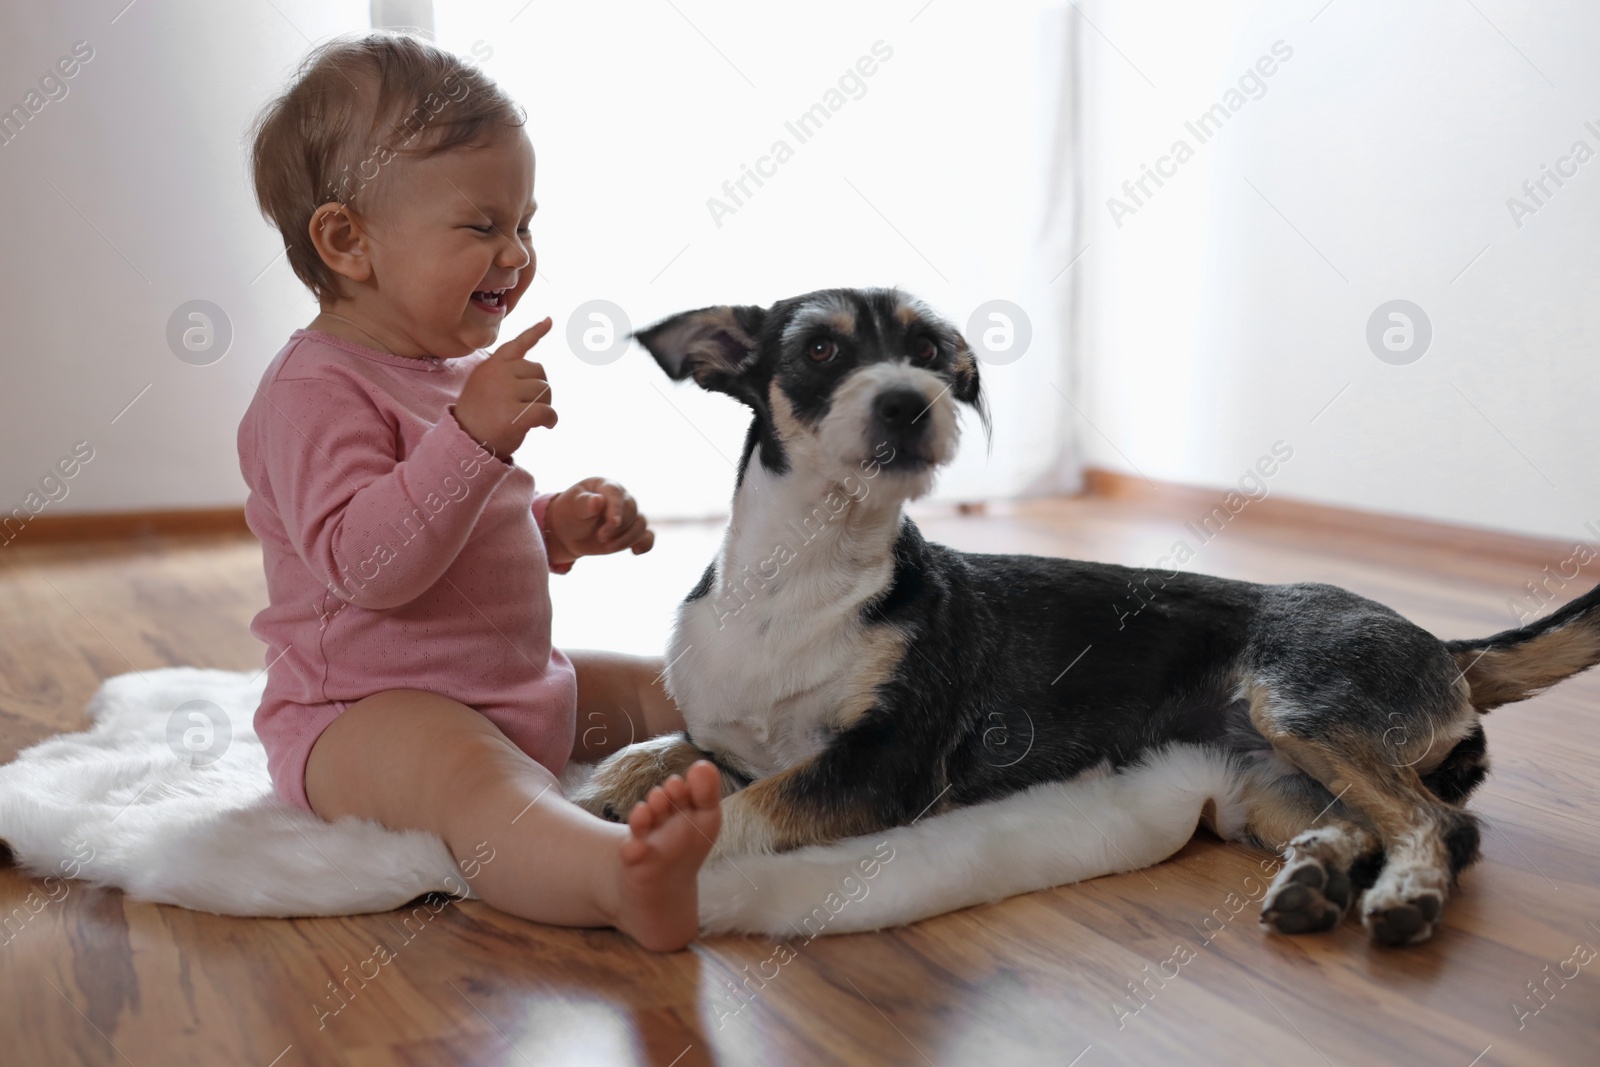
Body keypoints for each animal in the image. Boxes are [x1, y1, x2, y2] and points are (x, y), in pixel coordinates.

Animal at [576, 287, 1600, 947]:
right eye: (821, 349)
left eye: (936, 357)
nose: (913, 402)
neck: (800, 575)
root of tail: (1450, 649)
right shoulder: (726, 732)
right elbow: (655, 752)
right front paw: (601, 790)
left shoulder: (878, 768)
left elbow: (741, 811)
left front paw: (641, 840)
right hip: (1273, 778)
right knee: (1361, 823)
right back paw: (1317, 881)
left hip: (1305, 708)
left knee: (1443, 826)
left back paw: (1405, 896)